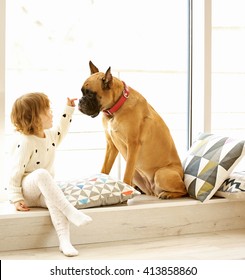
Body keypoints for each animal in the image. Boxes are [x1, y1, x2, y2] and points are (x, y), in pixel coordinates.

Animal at [78, 61, 188, 198]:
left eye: (90, 94)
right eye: (82, 92)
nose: (80, 101)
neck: (115, 108)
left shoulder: (133, 145)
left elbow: (126, 174)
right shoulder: (111, 146)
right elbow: (104, 169)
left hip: (161, 174)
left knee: (184, 189)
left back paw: (168, 194)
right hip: (138, 174)